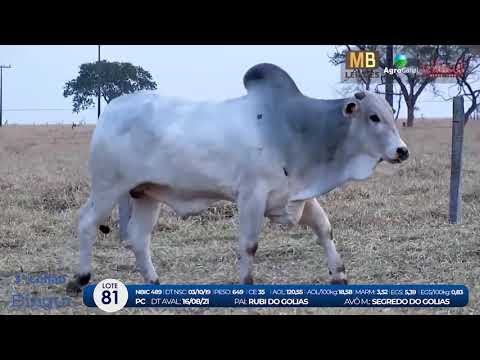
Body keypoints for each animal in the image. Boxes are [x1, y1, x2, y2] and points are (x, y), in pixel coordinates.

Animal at [66, 63, 408, 294]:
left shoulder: (295, 194)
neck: (297, 127)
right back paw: (80, 278)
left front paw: (339, 274)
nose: (402, 151)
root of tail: (111, 110)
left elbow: (325, 228)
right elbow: (250, 244)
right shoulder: (252, 195)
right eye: (373, 117)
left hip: (146, 194)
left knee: (138, 237)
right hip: (108, 187)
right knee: (86, 222)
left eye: (391, 113)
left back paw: (154, 281)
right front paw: (246, 282)